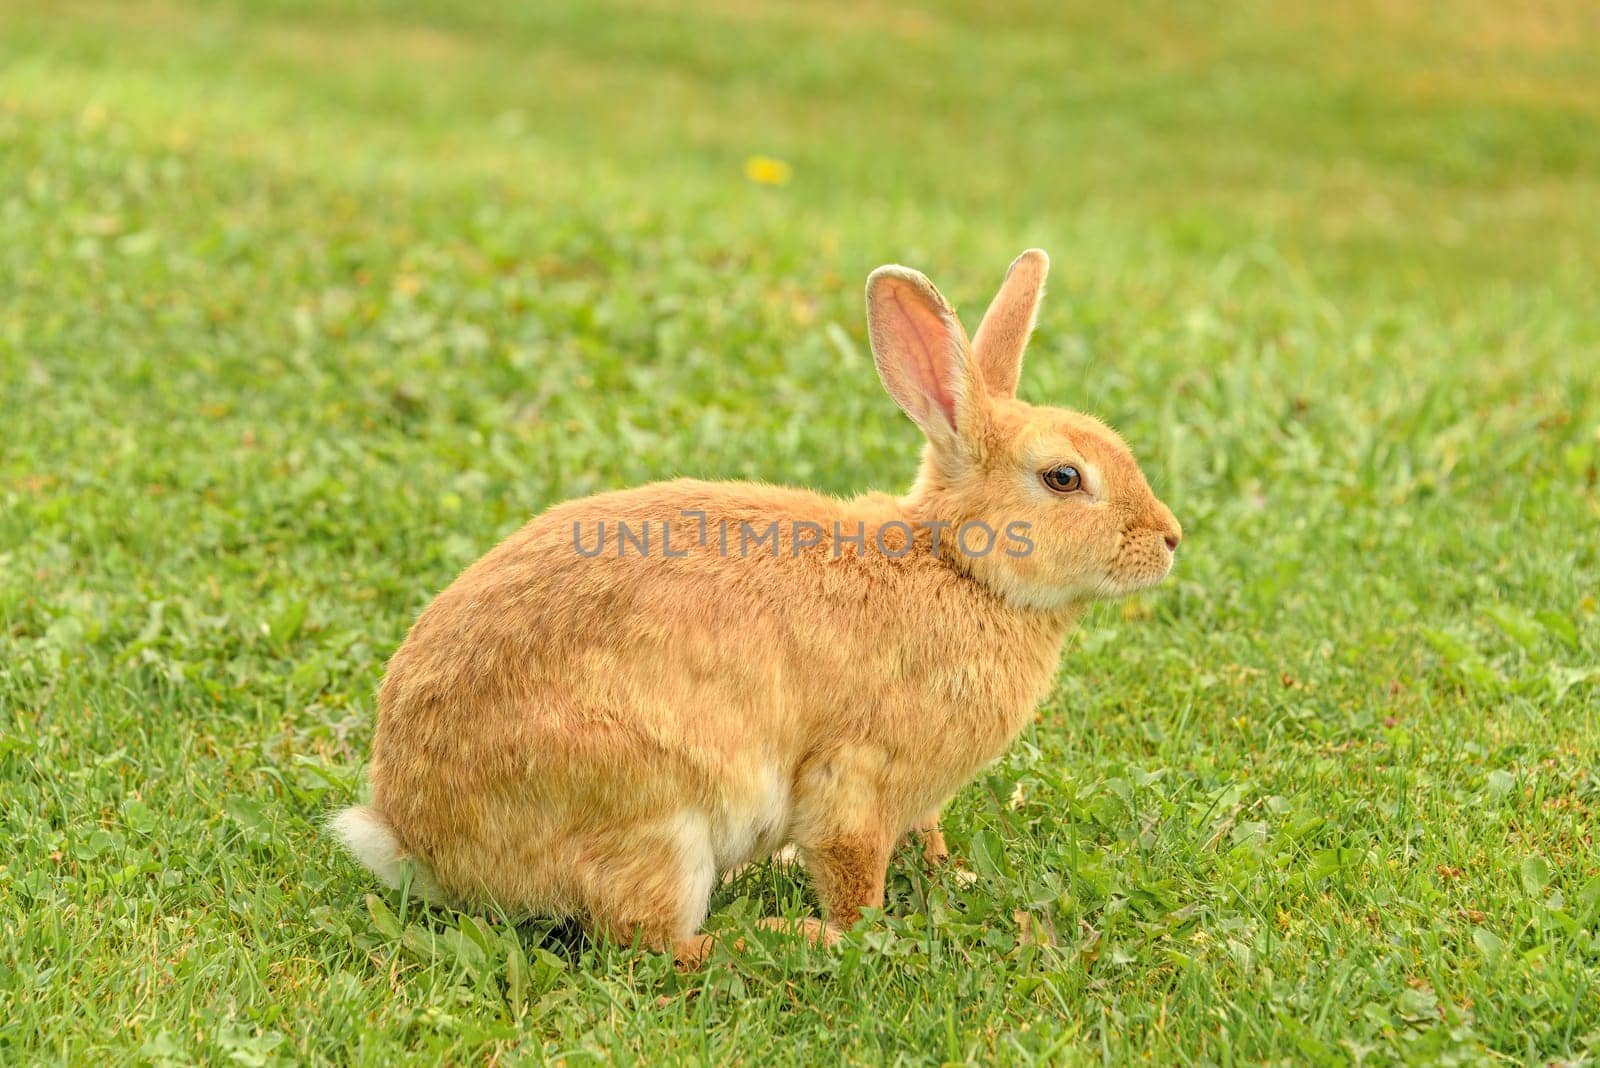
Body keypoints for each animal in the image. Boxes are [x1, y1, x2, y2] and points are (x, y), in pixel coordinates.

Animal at [328, 246, 1177, 965]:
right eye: (1064, 479)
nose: (1169, 539)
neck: (959, 568)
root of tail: (415, 835)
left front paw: (952, 878)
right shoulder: (853, 781)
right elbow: (854, 878)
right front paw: (854, 931)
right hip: (658, 817)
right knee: (652, 940)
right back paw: (769, 936)